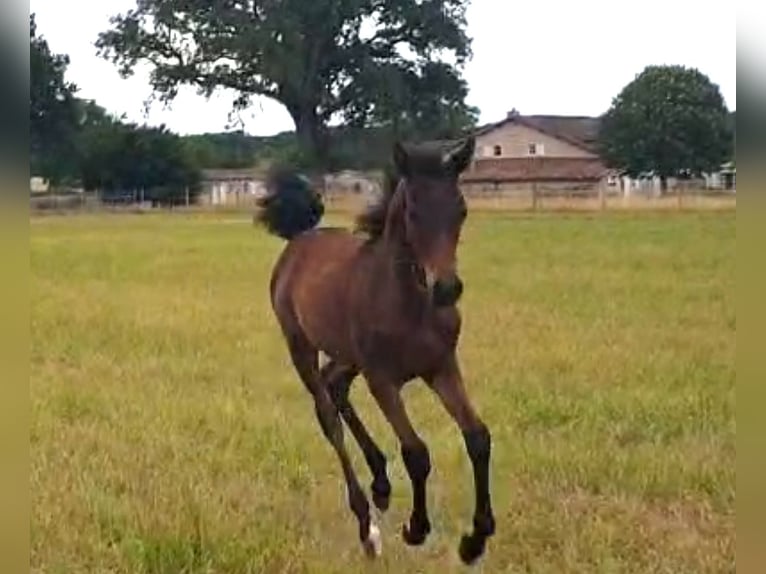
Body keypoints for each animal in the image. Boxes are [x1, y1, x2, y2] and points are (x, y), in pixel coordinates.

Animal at [254, 136, 495, 564]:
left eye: (462, 209)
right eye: (413, 211)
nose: (447, 288)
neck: (409, 304)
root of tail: (299, 239)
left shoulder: (442, 367)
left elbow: (478, 437)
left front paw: (475, 540)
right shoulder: (382, 379)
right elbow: (416, 452)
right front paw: (416, 529)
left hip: (348, 356)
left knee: (335, 384)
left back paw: (380, 482)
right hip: (301, 345)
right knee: (327, 415)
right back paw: (367, 525)